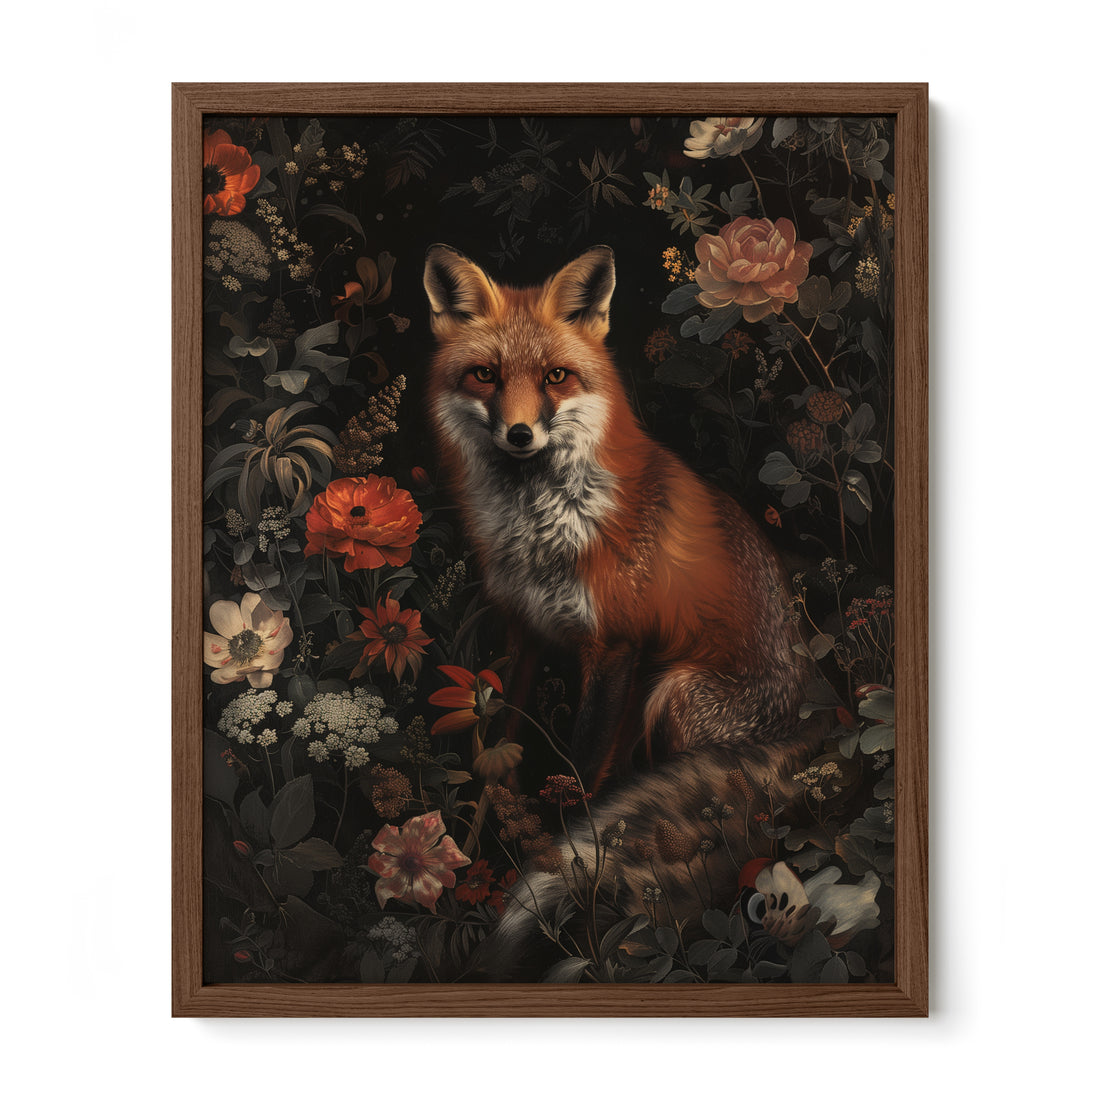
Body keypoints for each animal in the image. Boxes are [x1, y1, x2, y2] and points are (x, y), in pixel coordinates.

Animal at [423, 244, 822, 977]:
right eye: (485, 374)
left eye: (555, 377)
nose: (519, 434)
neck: (543, 528)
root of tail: (821, 717)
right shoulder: (524, 635)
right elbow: (497, 759)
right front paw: (467, 856)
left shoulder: (615, 646)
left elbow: (579, 779)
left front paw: (548, 864)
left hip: (675, 693)